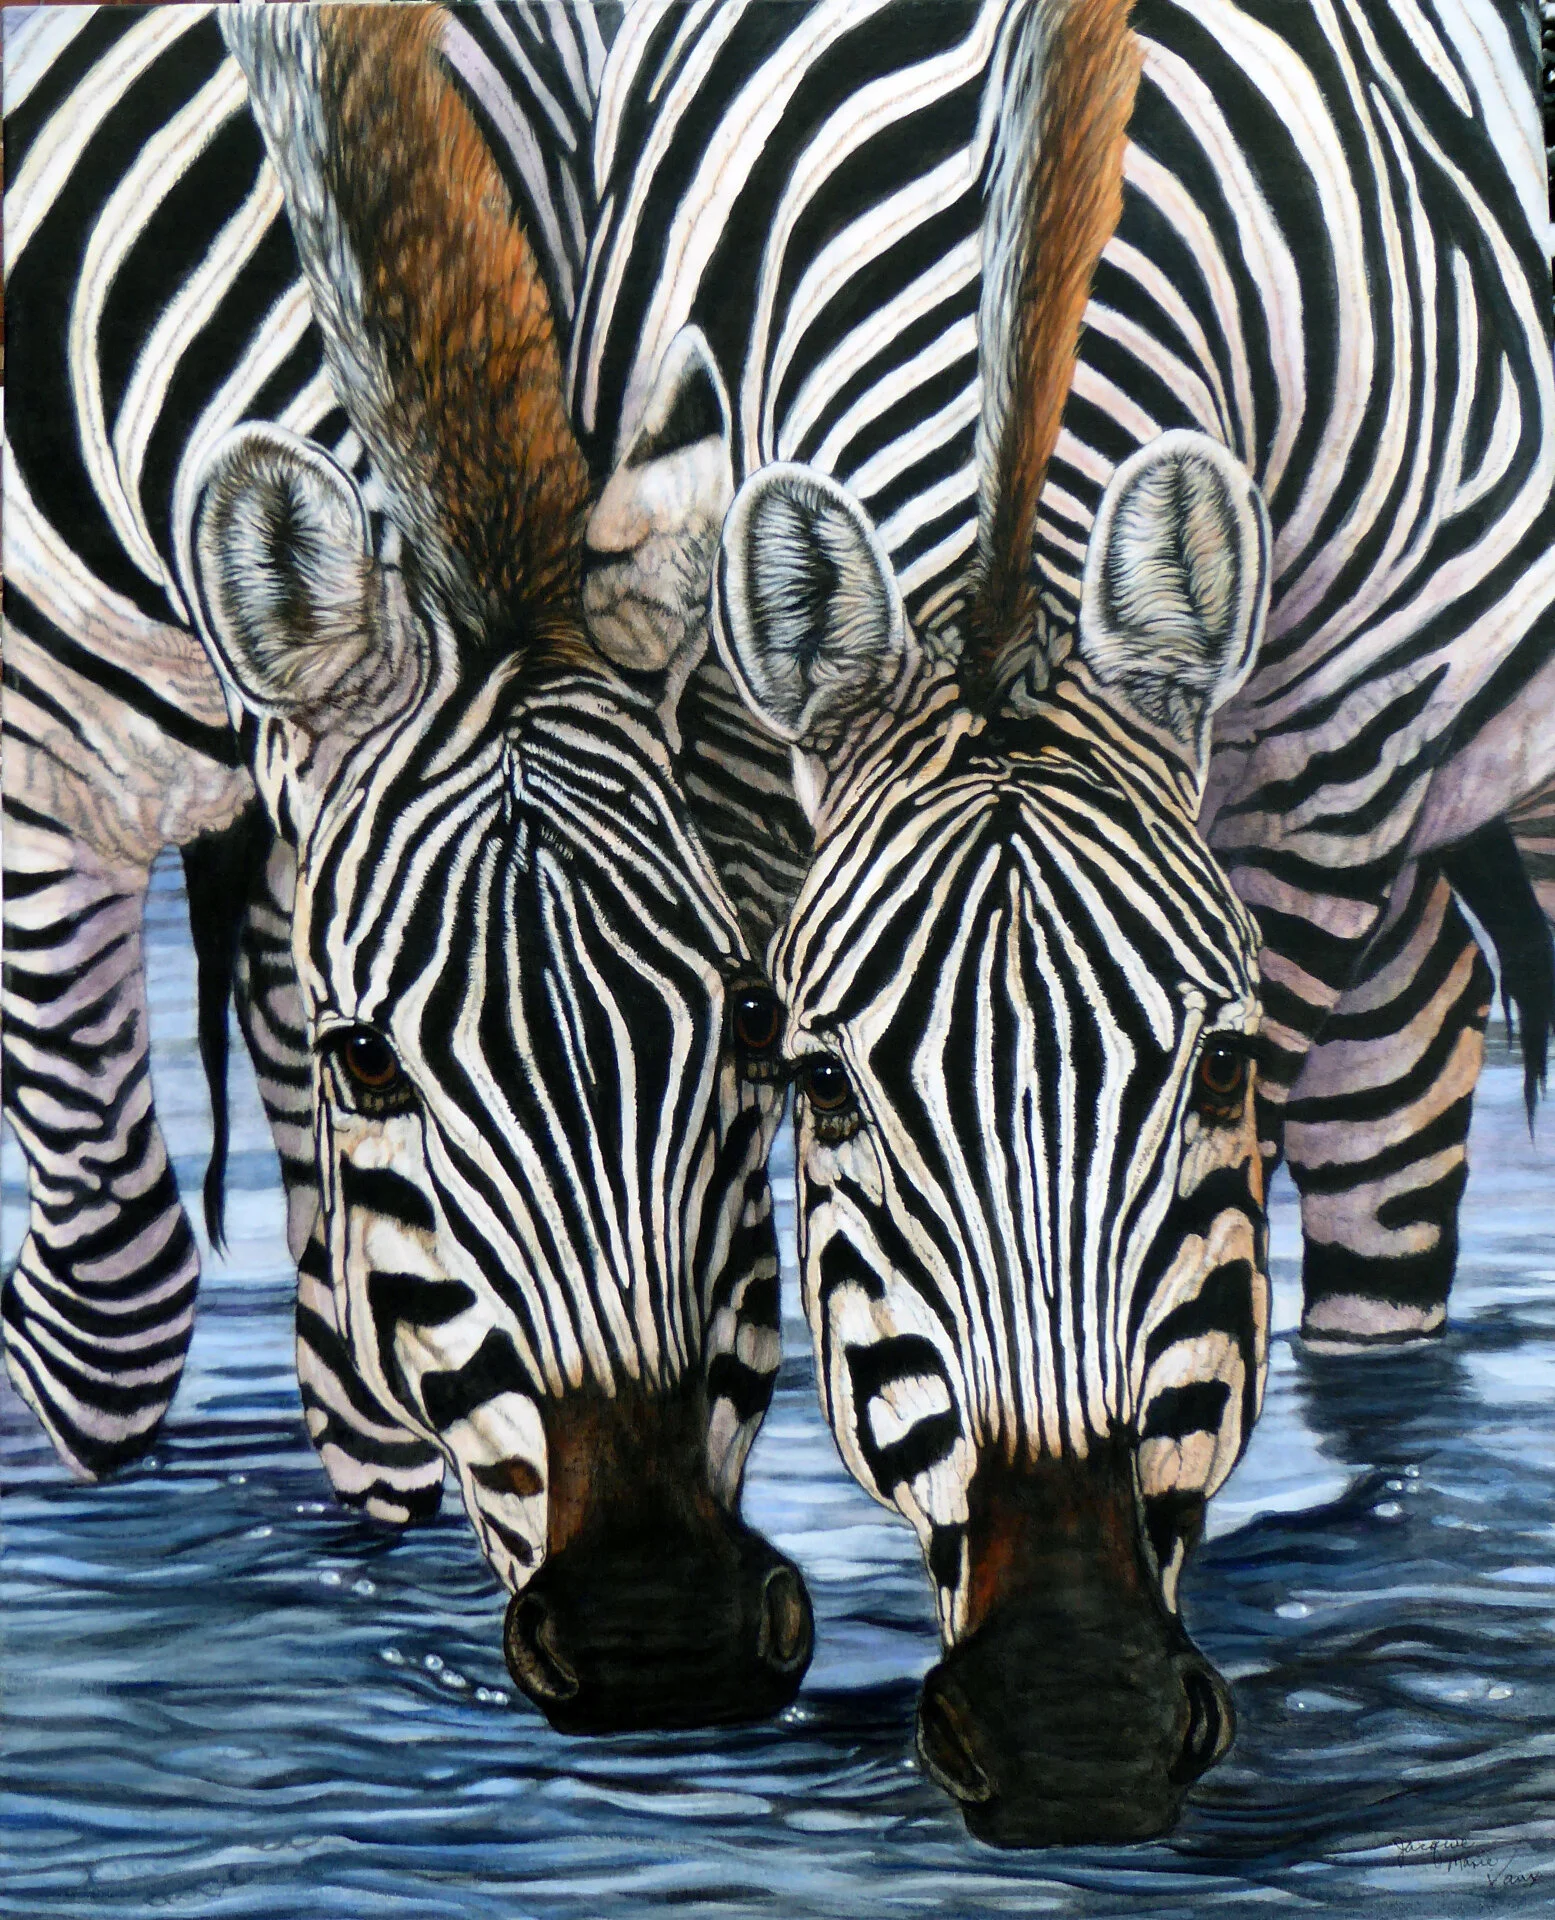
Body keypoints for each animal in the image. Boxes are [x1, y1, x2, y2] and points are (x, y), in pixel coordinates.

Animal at [3, 1, 812, 1730]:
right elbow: (108, 1311)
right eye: (372, 1058)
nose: (661, 1636)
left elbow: (359, 1355)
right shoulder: (44, 801)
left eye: (753, 1024)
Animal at [579, 0, 1555, 1842]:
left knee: (1389, 1129)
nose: (1070, 1734)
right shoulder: (731, 768)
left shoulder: (1320, 796)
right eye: (818, 1085)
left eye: (1219, 1068)